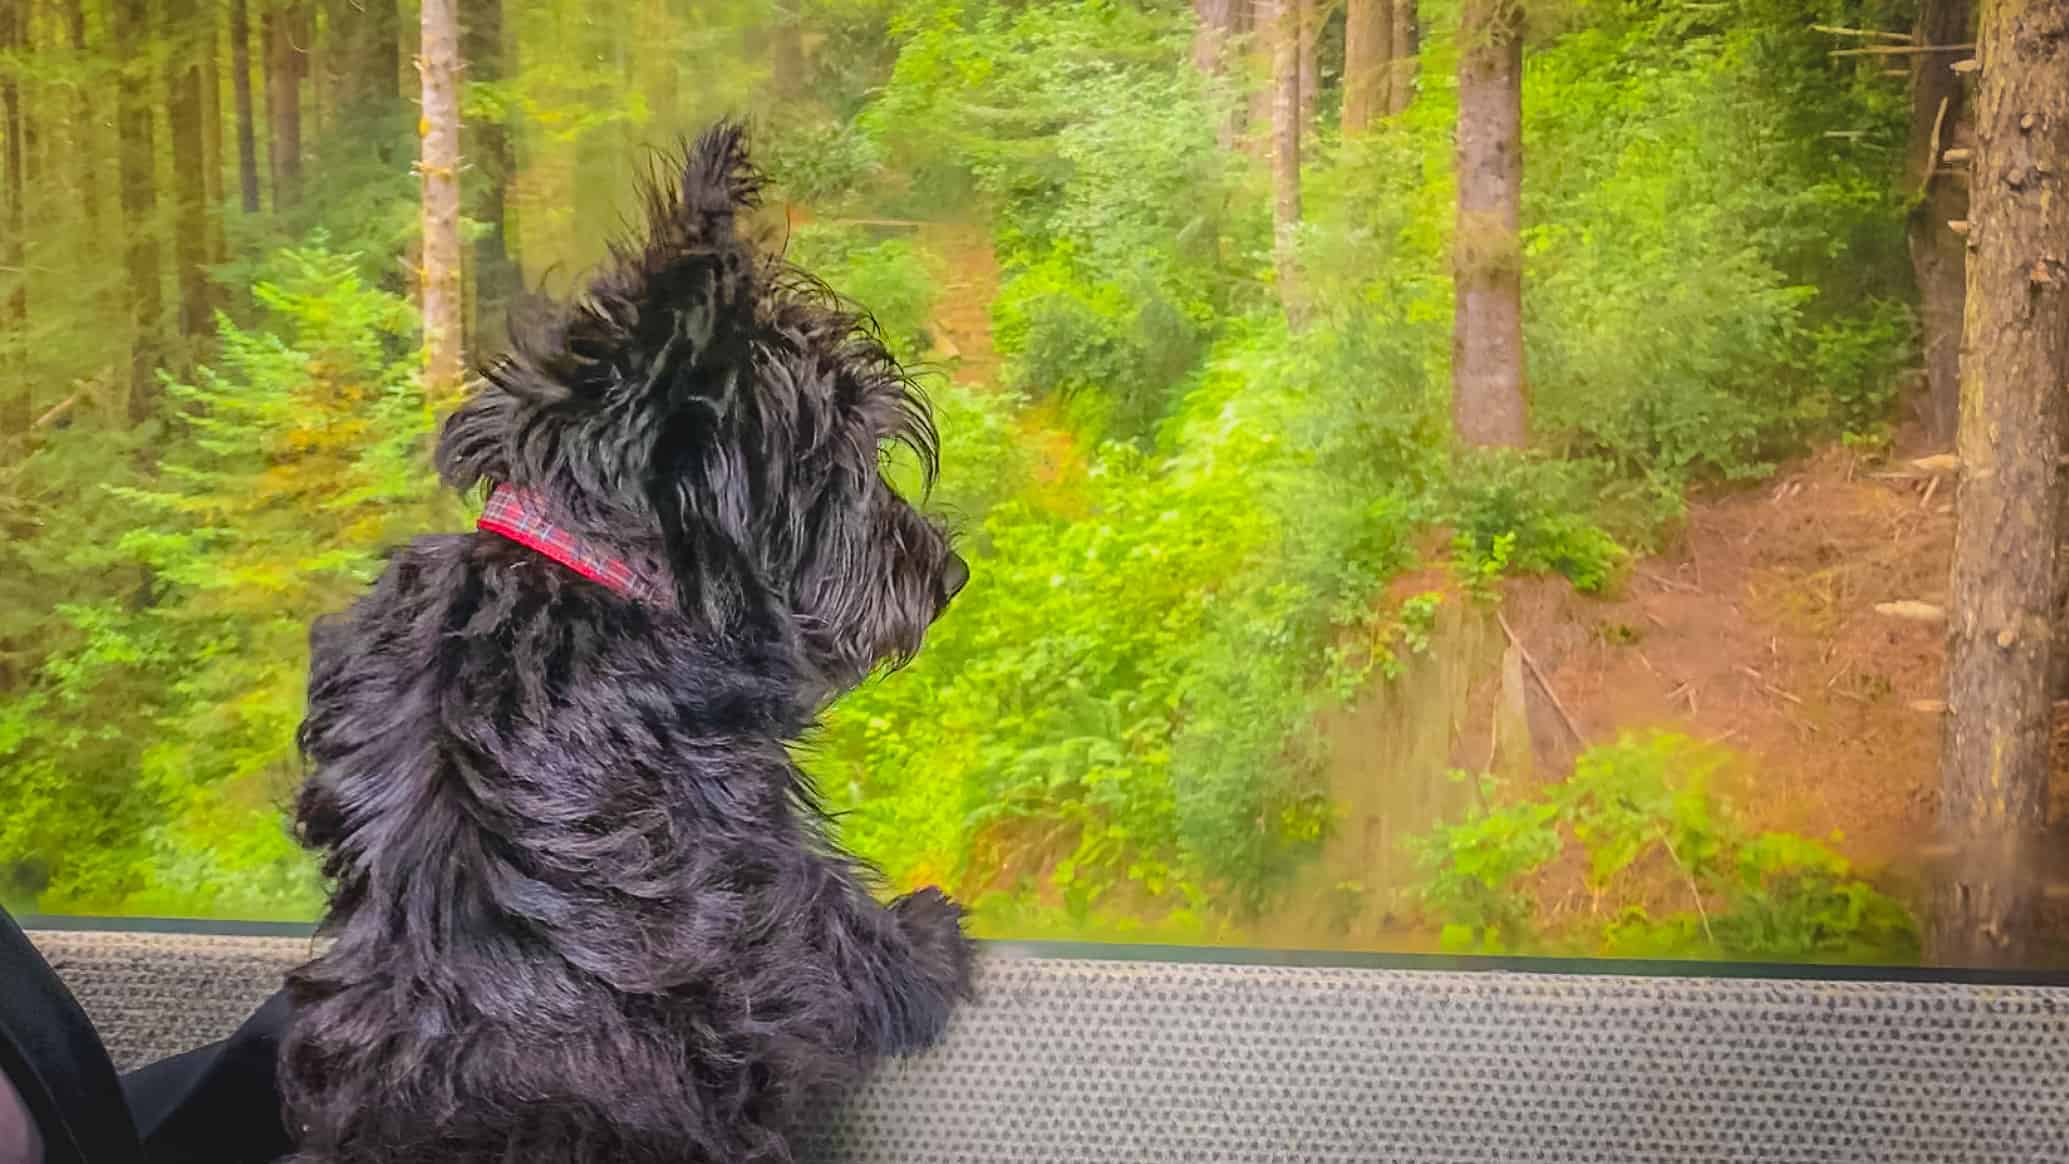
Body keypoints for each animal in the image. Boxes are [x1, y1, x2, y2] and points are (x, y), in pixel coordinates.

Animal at [277, 123, 976, 1157]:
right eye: (841, 457)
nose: (948, 574)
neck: (581, 567)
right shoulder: (767, 854)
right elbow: (851, 943)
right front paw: (930, 937)